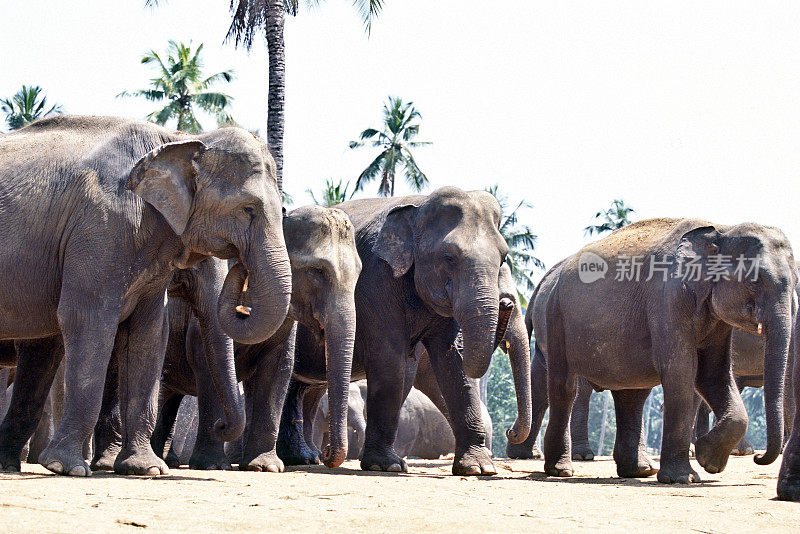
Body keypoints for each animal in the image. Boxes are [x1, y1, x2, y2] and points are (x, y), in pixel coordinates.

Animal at [0, 116, 290, 478]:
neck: (180, 139)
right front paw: (66, 468)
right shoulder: (102, 227)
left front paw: (146, 469)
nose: (222, 425)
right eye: (248, 209)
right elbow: (87, 319)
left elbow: (148, 332)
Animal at [276, 188, 532, 478]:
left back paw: (305, 458)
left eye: (503, 258)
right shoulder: (377, 279)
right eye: (449, 257)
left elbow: (451, 361)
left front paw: (478, 468)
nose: (510, 431)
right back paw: (305, 458)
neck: (420, 204)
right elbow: (390, 360)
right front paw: (386, 465)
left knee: (305, 388)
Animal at [520, 218, 792, 486]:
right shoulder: (668, 299)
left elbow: (713, 374)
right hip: (556, 317)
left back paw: (639, 471)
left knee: (632, 393)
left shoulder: (716, 319)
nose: (758, 458)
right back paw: (561, 470)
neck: (721, 228)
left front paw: (708, 460)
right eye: (755, 280)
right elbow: (681, 371)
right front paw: (684, 477)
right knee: (565, 387)